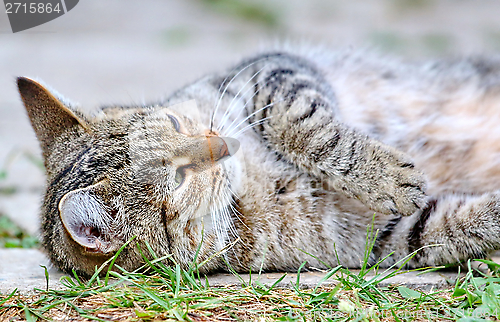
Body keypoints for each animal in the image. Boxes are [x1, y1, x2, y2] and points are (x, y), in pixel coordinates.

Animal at [18, 47, 500, 276]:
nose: (221, 142)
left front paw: (381, 174)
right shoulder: (375, 237)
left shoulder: (271, 70)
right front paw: (392, 179)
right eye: (179, 177)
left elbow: (301, 125)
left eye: (175, 121)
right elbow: (455, 222)